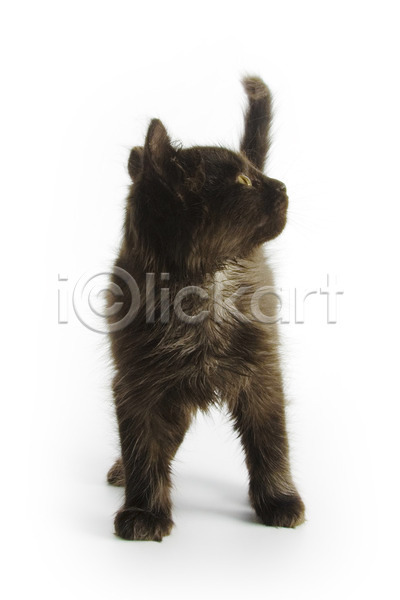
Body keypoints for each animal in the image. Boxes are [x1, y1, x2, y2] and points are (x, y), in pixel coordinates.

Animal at [106, 76, 305, 541]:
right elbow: (142, 445)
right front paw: (144, 511)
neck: (198, 291)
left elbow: (272, 443)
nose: (283, 187)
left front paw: (279, 501)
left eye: (254, 173)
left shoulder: (262, 375)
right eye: (243, 181)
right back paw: (124, 472)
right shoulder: (136, 383)